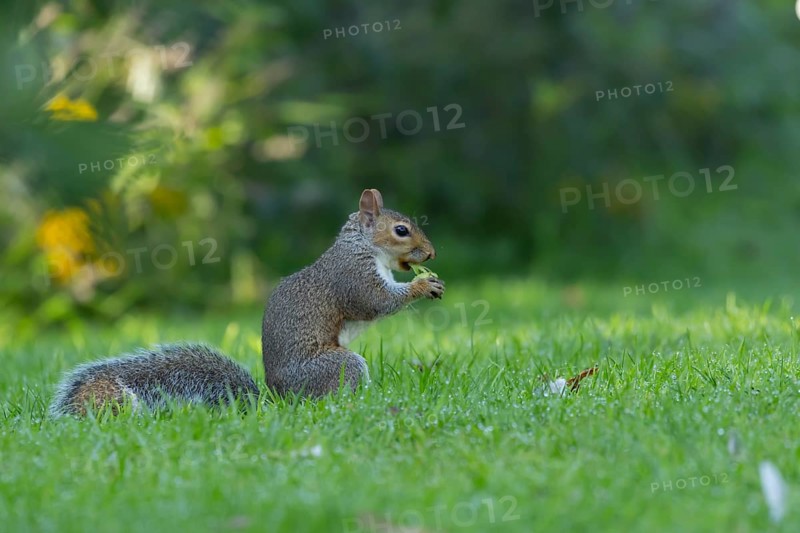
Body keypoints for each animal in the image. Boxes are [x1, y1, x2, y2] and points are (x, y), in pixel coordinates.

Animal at [49, 188, 444, 417]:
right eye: (401, 230)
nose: (431, 253)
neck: (362, 245)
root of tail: (279, 398)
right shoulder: (352, 277)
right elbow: (376, 303)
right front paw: (421, 286)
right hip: (338, 366)